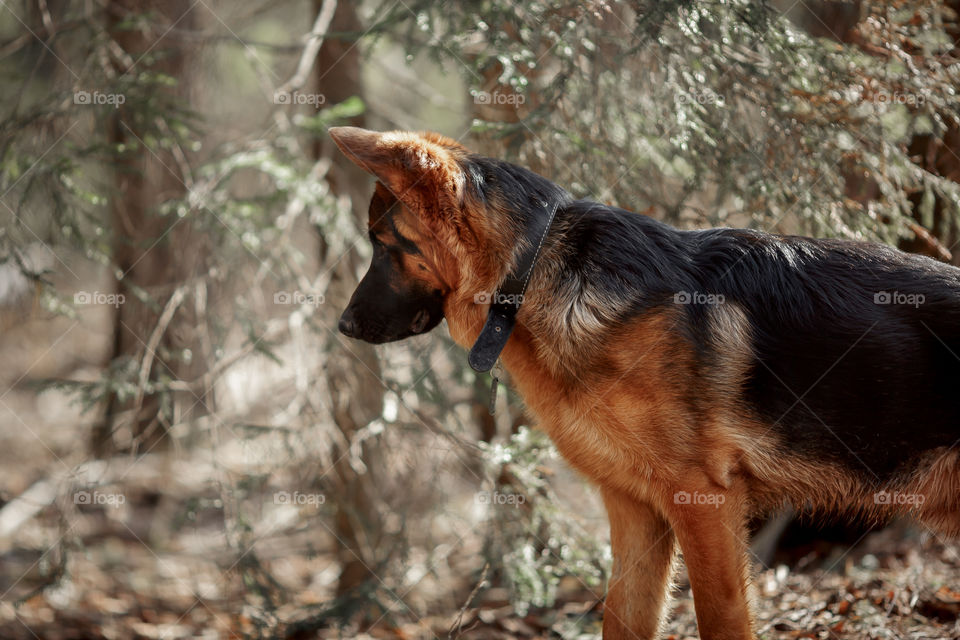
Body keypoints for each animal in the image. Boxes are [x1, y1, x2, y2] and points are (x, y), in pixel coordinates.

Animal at [326, 127, 956, 636]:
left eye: (383, 246)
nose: (343, 326)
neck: (528, 277)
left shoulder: (704, 504)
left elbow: (721, 622)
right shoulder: (634, 512)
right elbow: (622, 621)